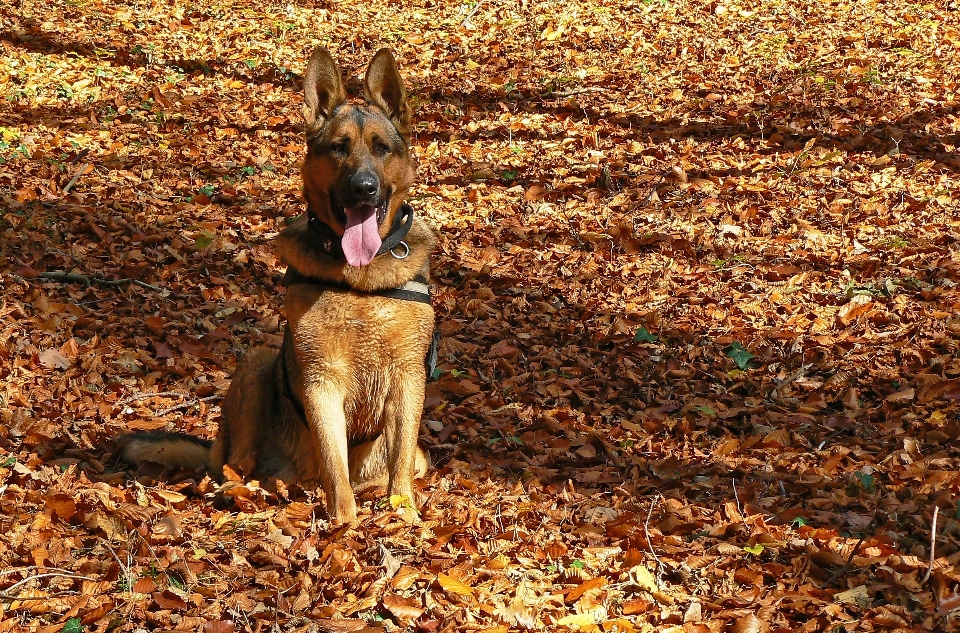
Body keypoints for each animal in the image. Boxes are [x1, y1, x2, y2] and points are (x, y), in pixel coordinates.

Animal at [119, 48, 432, 524]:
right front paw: (345, 523)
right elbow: (335, 464)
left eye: (381, 148)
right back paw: (238, 490)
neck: (360, 280)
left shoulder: (409, 380)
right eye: (339, 148)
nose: (364, 188)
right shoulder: (322, 383)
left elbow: (398, 464)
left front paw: (404, 514)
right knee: (235, 465)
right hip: (257, 364)